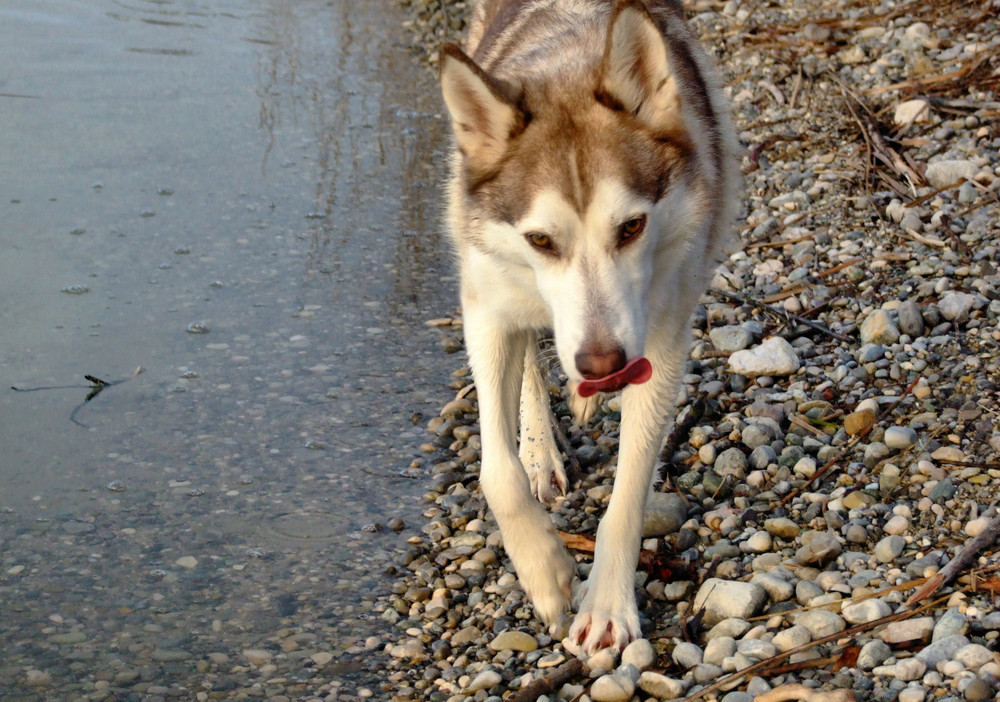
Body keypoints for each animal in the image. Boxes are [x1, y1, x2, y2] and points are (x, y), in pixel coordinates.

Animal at [440, 0, 744, 656]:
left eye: (631, 227)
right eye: (540, 240)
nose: (603, 364)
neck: (568, 63)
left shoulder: (661, 342)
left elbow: (628, 493)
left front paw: (605, 606)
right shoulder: (487, 308)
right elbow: (496, 472)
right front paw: (546, 572)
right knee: (531, 364)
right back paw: (541, 449)